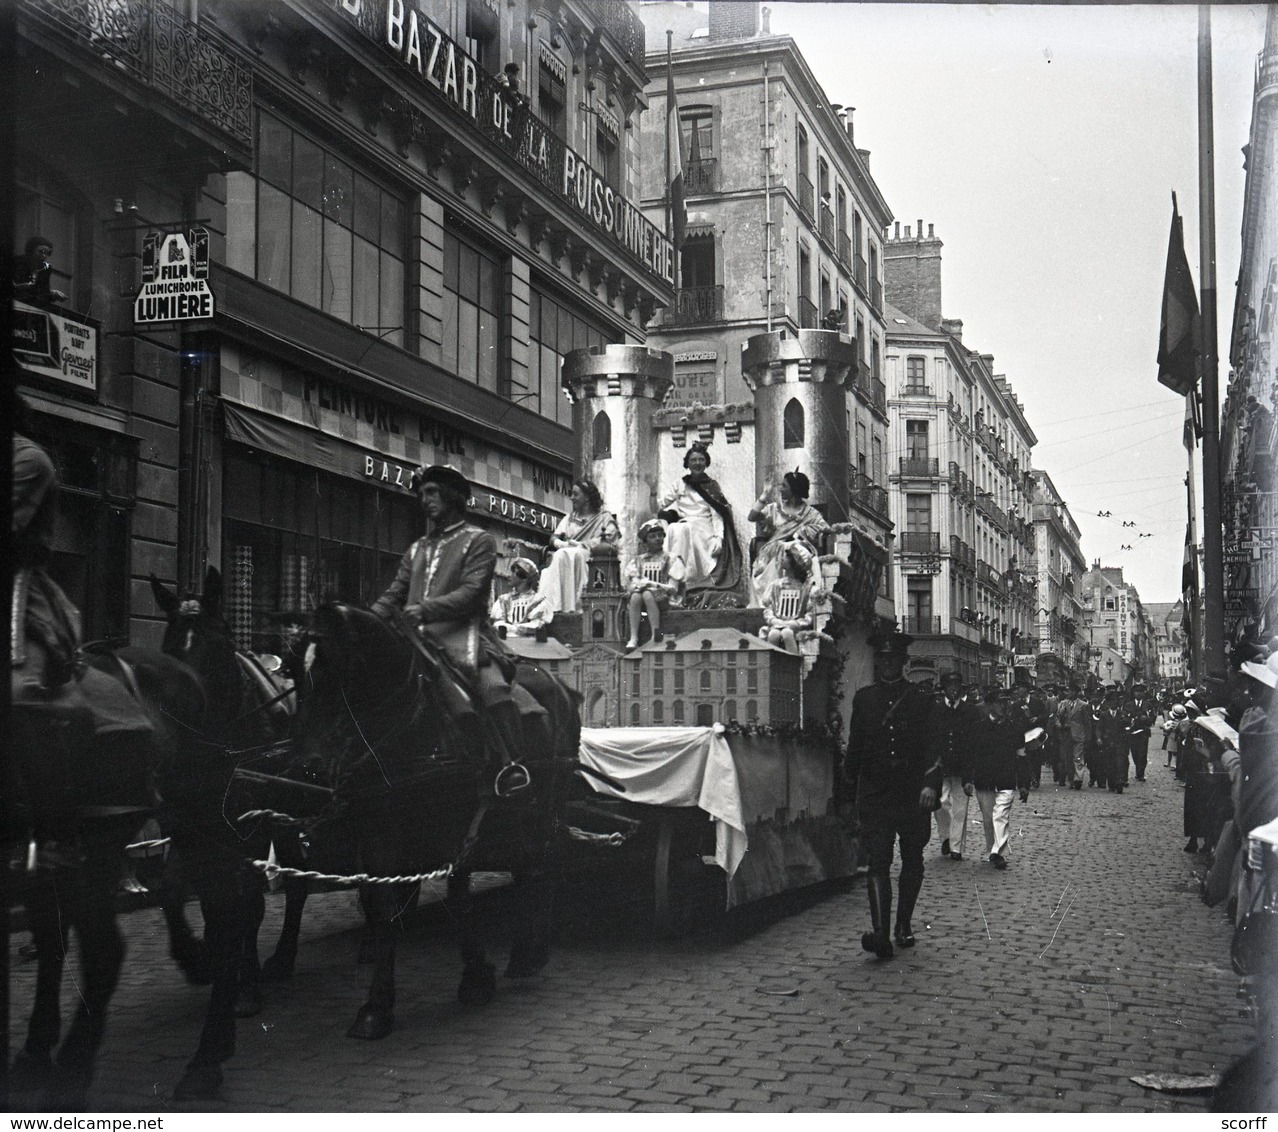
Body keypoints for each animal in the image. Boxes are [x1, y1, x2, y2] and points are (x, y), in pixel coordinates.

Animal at [272, 603, 585, 1047]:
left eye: (340, 671)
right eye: (295, 674)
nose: (303, 770)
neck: (413, 729)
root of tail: (558, 685)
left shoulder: (458, 827)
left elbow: (458, 897)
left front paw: (475, 977)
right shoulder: (379, 834)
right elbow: (384, 909)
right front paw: (377, 1007)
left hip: (548, 801)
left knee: (546, 861)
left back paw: (531, 950)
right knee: (528, 864)